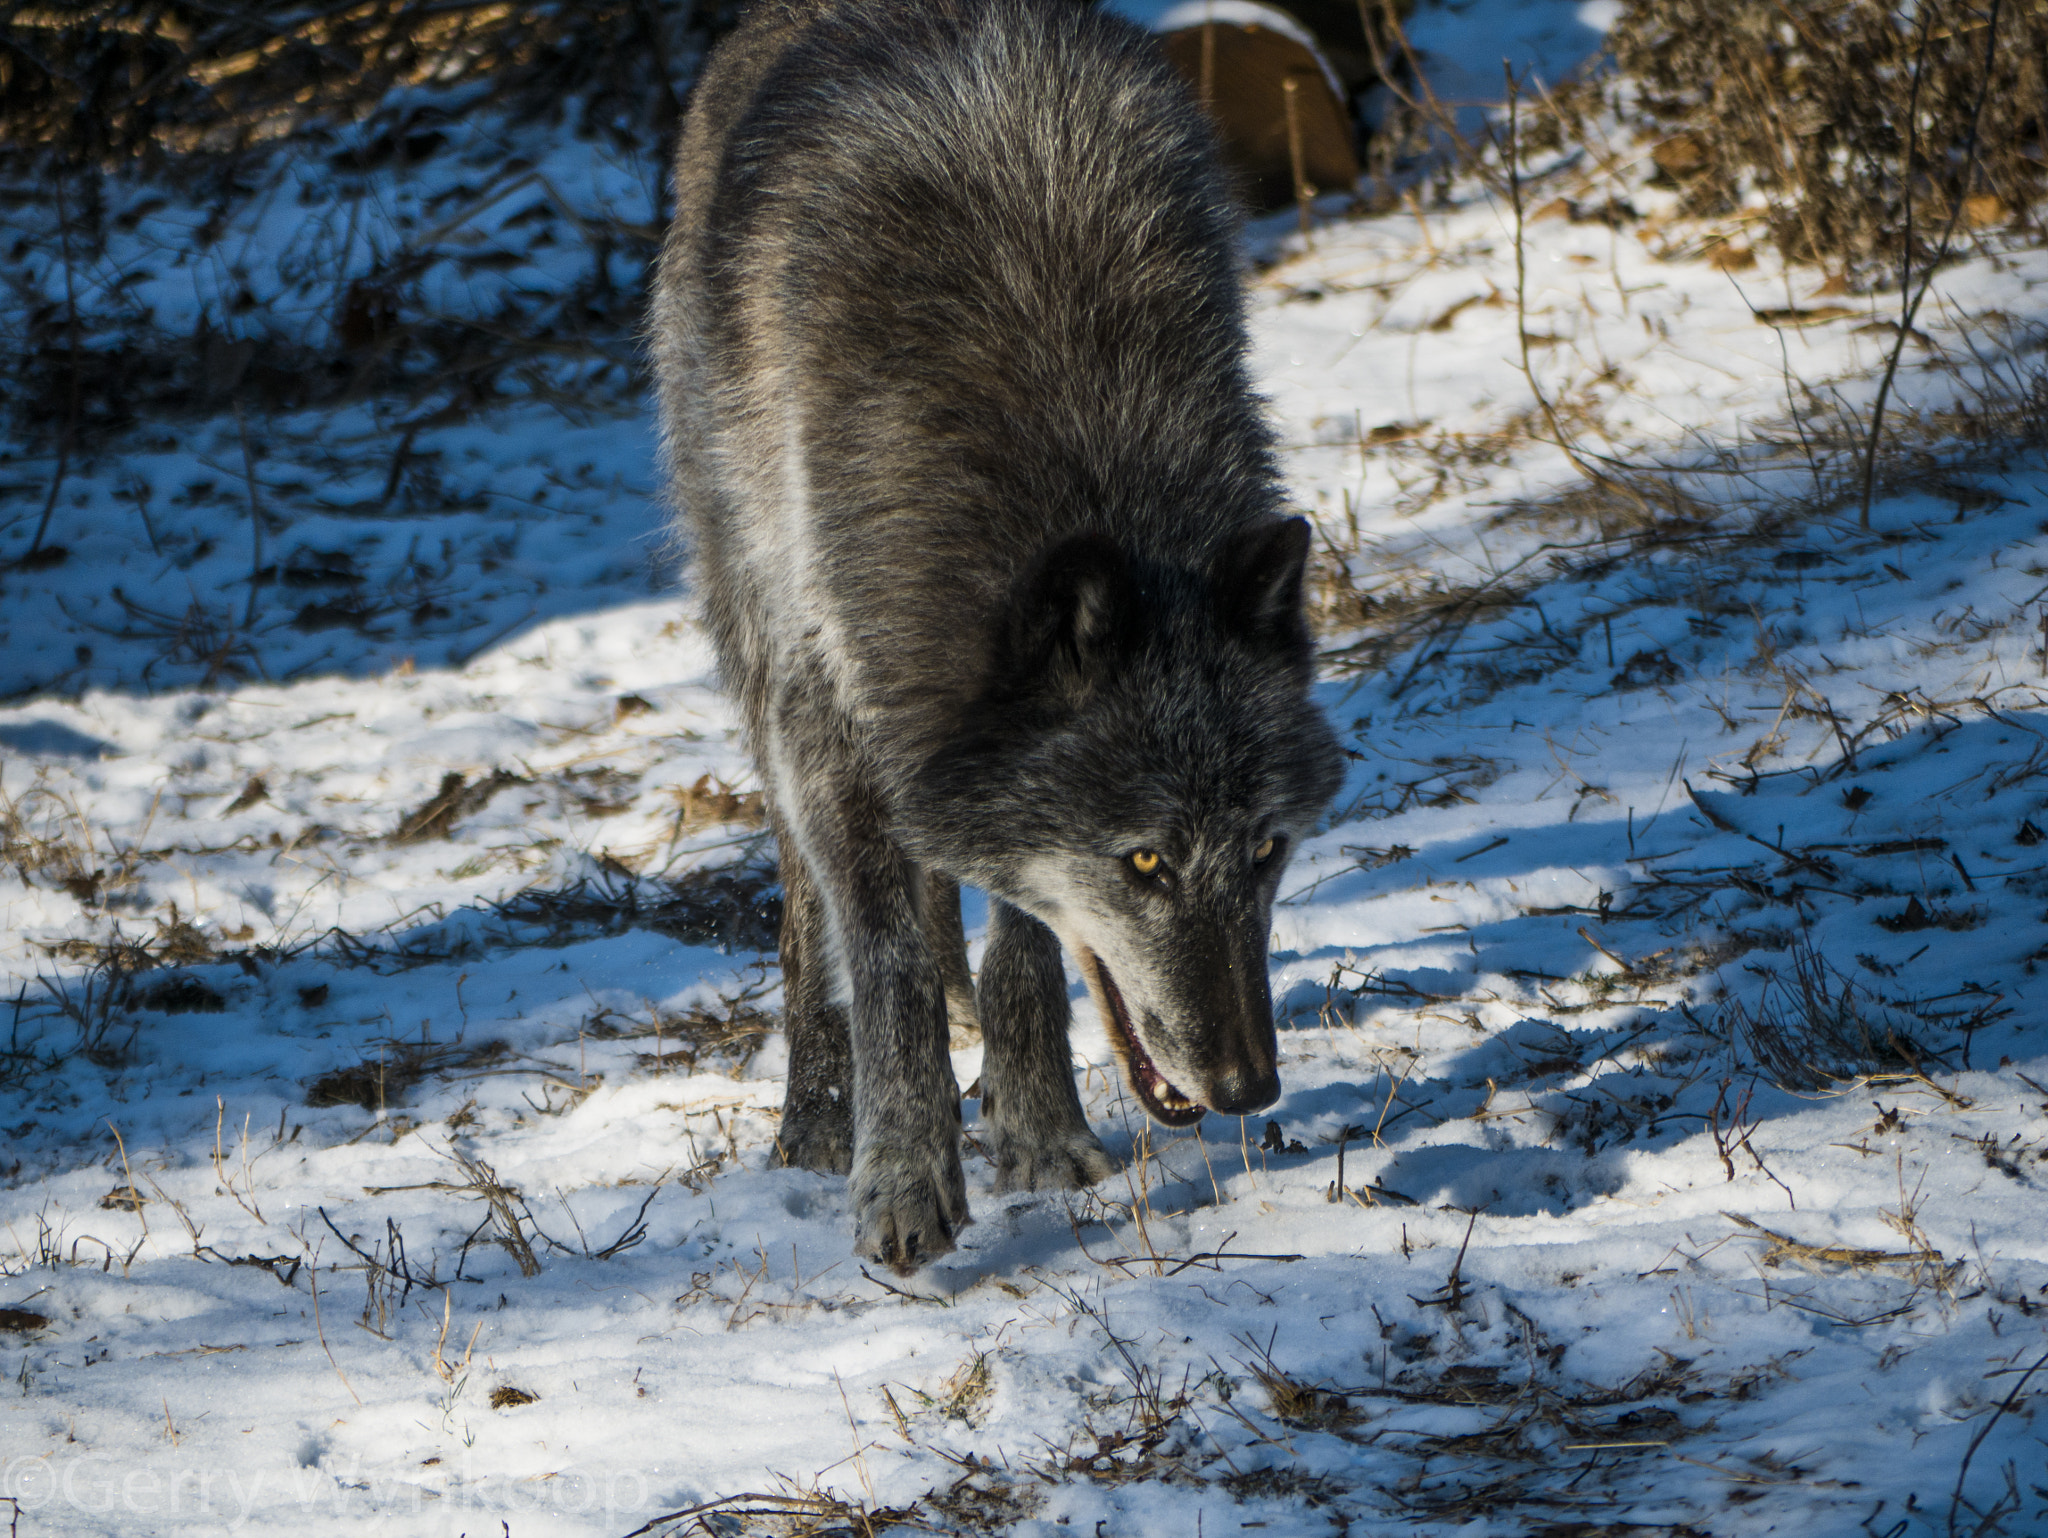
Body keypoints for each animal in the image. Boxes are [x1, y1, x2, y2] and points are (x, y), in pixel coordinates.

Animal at [643, 0, 1343, 1277]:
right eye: (1144, 862)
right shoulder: (836, 709)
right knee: (808, 911)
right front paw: (903, 1175)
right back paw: (814, 1117)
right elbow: (884, 959)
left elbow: (1020, 941)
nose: (1246, 1087)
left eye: (1266, 848)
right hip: (758, 635)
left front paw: (1038, 1127)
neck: (1080, 450)